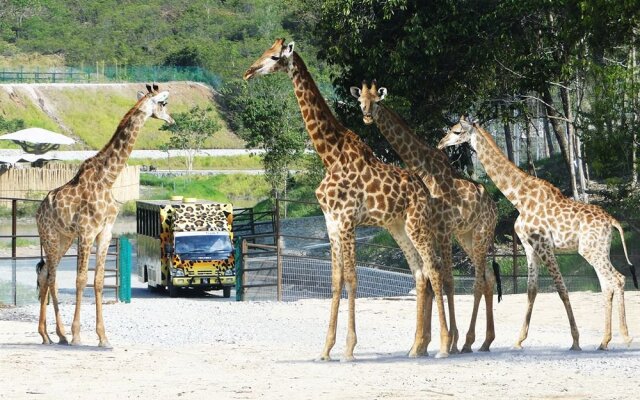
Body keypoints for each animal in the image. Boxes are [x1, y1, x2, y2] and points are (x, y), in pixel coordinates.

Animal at [36, 84, 174, 346]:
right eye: (163, 103)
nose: (172, 120)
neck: (107, 179)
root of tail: (38, 212)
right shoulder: (87, 232)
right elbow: (81, 279)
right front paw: (77, 335)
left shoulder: (105, 233)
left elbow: (98, 280)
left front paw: (103, 337)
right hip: (50, 236)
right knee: (51, 276)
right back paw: (57, 334)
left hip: (64, 238)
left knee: (47, 273)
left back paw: (51, 335)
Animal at [242, 39, 452, 360]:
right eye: (265, 52)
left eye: (275, 56)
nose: (249, 72)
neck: (329, 155)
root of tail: (425, 190)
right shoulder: (331, 222)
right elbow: (336, 280)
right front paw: (326, 349)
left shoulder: (348, 220)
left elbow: (352, 278)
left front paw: (349, 348)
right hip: (398, 227)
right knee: (418, 272)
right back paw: (416, 347)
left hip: (417, 223)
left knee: (434, 269)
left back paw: (443, 345)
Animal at [350, 82, 500, 354]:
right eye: (360, 101)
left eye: (376, 100)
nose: (366, 116)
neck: (422, 167)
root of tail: (495, 208)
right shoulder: (434, 228)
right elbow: (431, 276)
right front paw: (427, 343)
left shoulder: (443, 228)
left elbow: (446, 279)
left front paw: (448, 342)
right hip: (467, 236)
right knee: (488, 277)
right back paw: (484, 341)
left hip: (481, 233)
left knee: (480, 280)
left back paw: (470, 341)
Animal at [438, 116, 636, 350]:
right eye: (451, 129)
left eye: (457, 132)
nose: (441, 143)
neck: (519, 198)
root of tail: (613, 222)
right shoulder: (529, 246)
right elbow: (531, 290)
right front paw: (519, 340)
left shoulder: (543, 245)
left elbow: (561, 288)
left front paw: (575, 340)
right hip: (599, 250)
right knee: (607, 284)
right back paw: (604, 341)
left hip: (591, 250)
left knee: (617, 279)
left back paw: (625, 337)